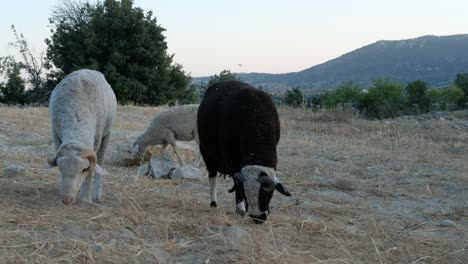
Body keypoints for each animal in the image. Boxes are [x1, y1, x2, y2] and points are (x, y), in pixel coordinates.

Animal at [47, 69, 117, 205]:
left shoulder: (97, 139)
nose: (66, 200)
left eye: (84, 169)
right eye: (60, 169)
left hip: (107, 134)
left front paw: (86, 197)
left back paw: (96, 194)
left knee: (101, 160)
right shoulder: (56, 134)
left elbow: (92, 170)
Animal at [196, 79, 290, 224]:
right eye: (245, 194)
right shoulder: (231, 159)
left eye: (268, 194)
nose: (257, 218)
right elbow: (236, 184)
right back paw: (213, 203)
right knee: (212, 176)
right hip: (206, 153)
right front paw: (240, 209)